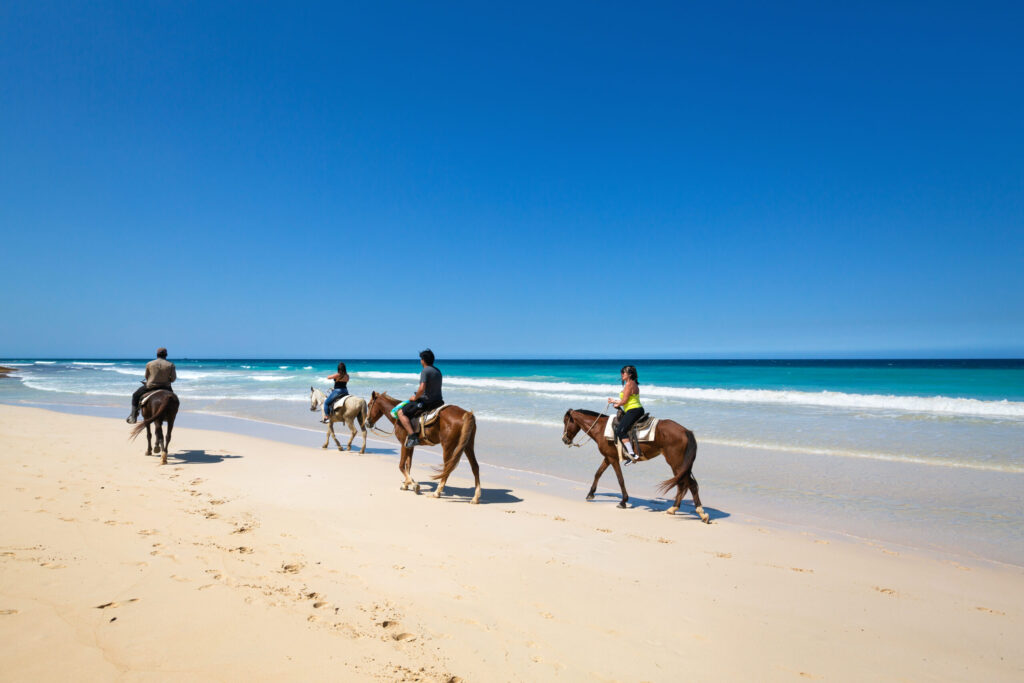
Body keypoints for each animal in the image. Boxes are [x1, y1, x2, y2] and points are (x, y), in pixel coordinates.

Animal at [561, 411, 712, 524]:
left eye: (565, 422)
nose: (564, 440)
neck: (601, 428)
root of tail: (686, 431)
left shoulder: (613, 459)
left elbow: (620, 479)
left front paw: (623, 501)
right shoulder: (608, 458)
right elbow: (598, 473)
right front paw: (591, 493)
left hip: (676, 463)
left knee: (689, 484)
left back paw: (701, 514)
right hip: (681, 465)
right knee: (684, 484)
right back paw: (673, 509)